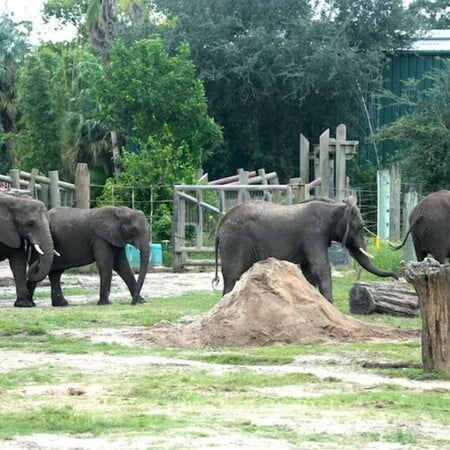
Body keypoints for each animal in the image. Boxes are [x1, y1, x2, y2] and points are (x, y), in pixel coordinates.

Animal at [212, 197, 398, 302]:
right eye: (359, 228)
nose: (396, 278)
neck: (335, 206)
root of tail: (220, 225)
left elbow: (309, 271)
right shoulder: (313, 234)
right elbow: (320, 267)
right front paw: (329, 303)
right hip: (234, 242)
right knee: (232, 276)